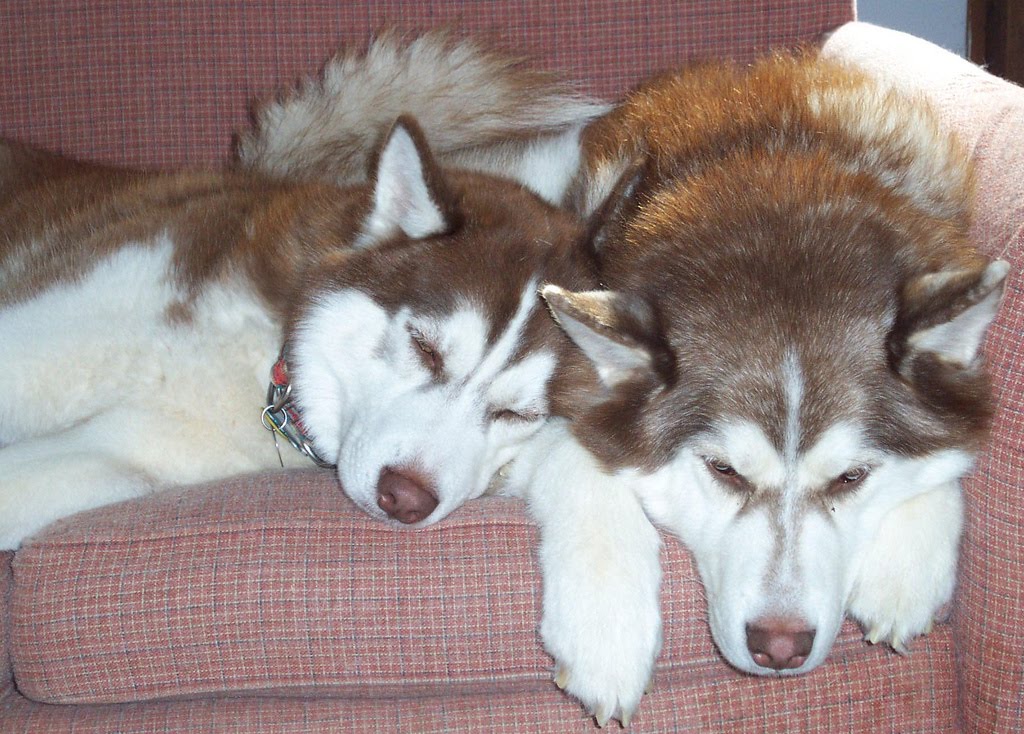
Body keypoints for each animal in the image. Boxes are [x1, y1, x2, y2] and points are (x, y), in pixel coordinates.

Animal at [506, 51, 1010, 725]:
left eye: (850, 477)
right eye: (724, 471)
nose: (780, 646)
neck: (783, 206)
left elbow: (948, 451)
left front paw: (905, 566)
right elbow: (578, 457)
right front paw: (605, 633)